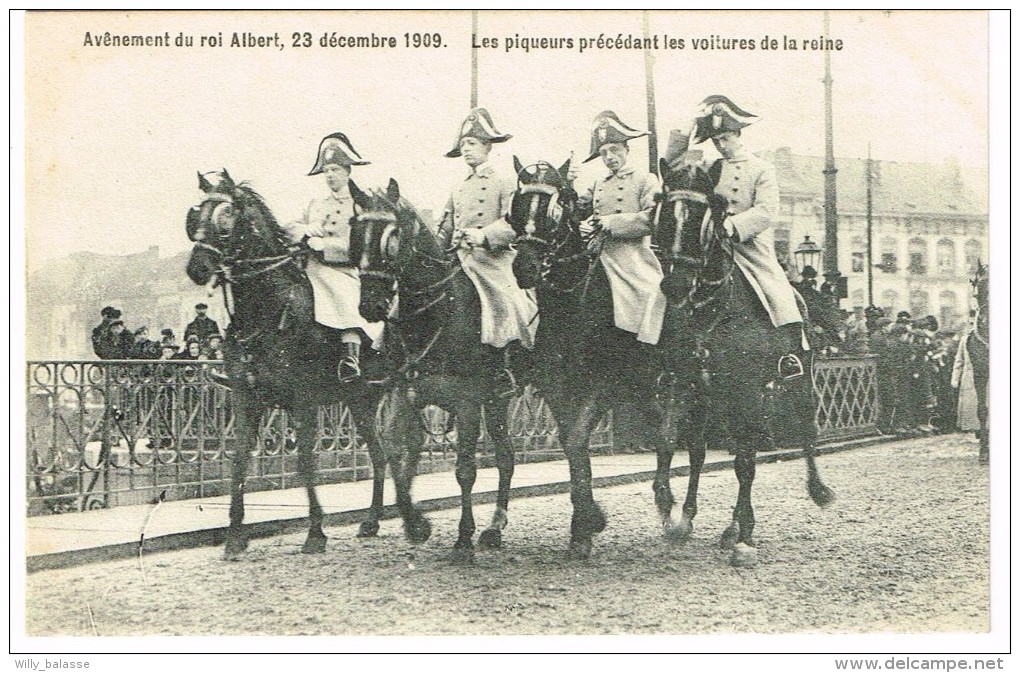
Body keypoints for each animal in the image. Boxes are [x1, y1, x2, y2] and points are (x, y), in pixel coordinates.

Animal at [181, 168, 428, 558]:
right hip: (360, 400)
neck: (269, 308)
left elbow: (305, 464)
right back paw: (372, 521)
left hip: (401, 391)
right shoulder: (245, 398)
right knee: (379, 454)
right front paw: (235, 536)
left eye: (225, 216)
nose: (197, 267)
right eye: (196, 215)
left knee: (405, 445)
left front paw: (315, 532)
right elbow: (238, 462)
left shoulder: (303, 401)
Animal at [354, 176, 522, 558]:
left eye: (392, 236)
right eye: (356, 233)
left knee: (507, 457)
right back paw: (495, 526)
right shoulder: (403, 395)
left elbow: (465, 470)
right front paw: (416, 524)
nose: (370, 305)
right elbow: (397, 457)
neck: (436, 311)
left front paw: (463, 538)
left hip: (499, 397)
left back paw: (495, 528)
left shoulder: (467, 402)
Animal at [507, 156, 669, 558]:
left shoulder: (601, 386)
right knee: (662, 427)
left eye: (554, 208)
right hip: (641, 387)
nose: (525, 268)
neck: (573, 303)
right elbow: (571, 444)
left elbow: (578, 439)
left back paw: (672, 508)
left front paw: (586, 524)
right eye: (517, 205)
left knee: (667, 431)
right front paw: (585, 522)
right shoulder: (555, 387)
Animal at [648, 156, 832, 566]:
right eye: (664, 211)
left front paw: (745, 536)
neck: (711, 309)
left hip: (796, 384)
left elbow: (745, 463)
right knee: (703, 451)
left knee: (805, 433)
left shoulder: (745, 391)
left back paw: (817, 490)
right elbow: (670, 442)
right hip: (715, 399)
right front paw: (670, 509)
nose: (675, 286)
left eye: (704, 213)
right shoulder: (682, 383)